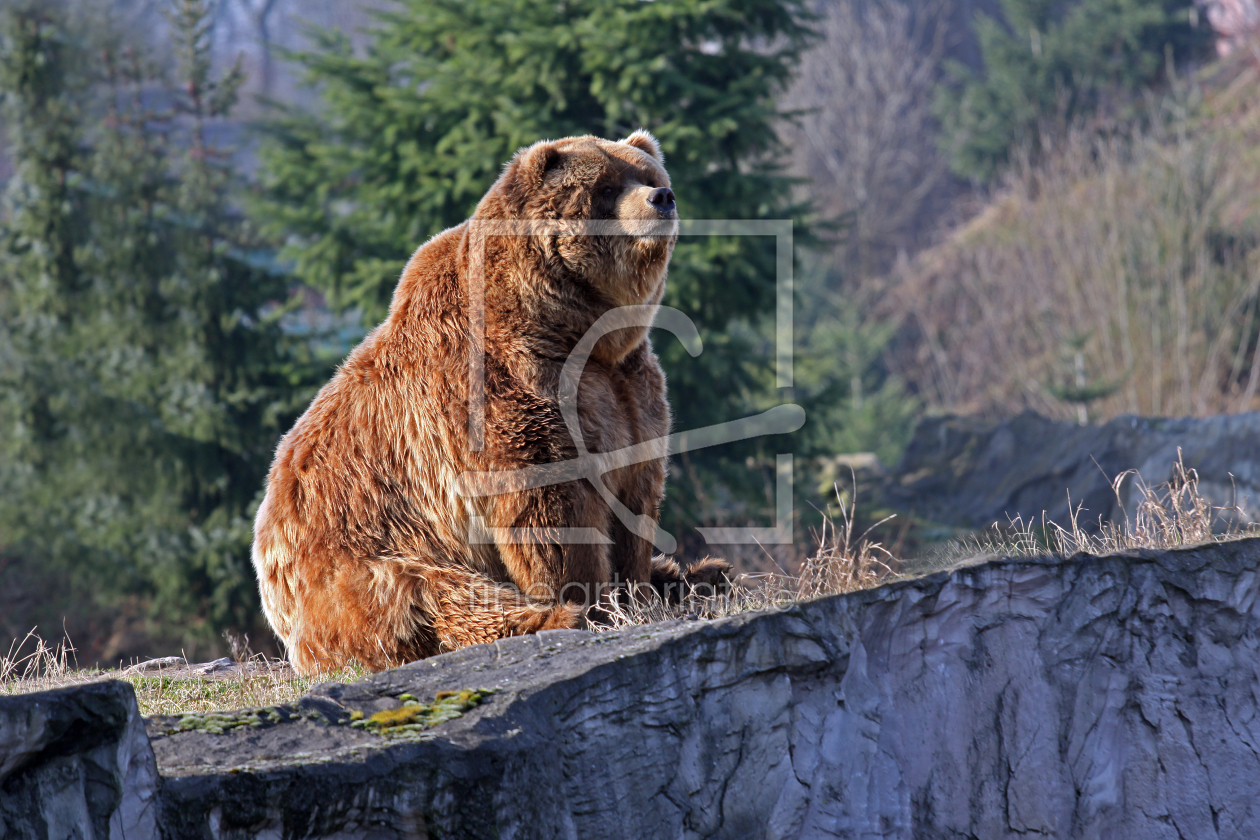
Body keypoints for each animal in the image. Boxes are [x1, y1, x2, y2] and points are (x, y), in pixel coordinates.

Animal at [249, 131, 725, 675]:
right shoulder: (503, 388)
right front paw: (588, 601)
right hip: (369, 562)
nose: (662, 198)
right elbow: (551, 507)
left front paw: (641, 587)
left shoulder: (625, 387)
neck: (575, 326)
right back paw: (548, 617)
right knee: (437, 598)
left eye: (648, 174)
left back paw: (701, 574)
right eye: (606, 186)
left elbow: (634, 495)